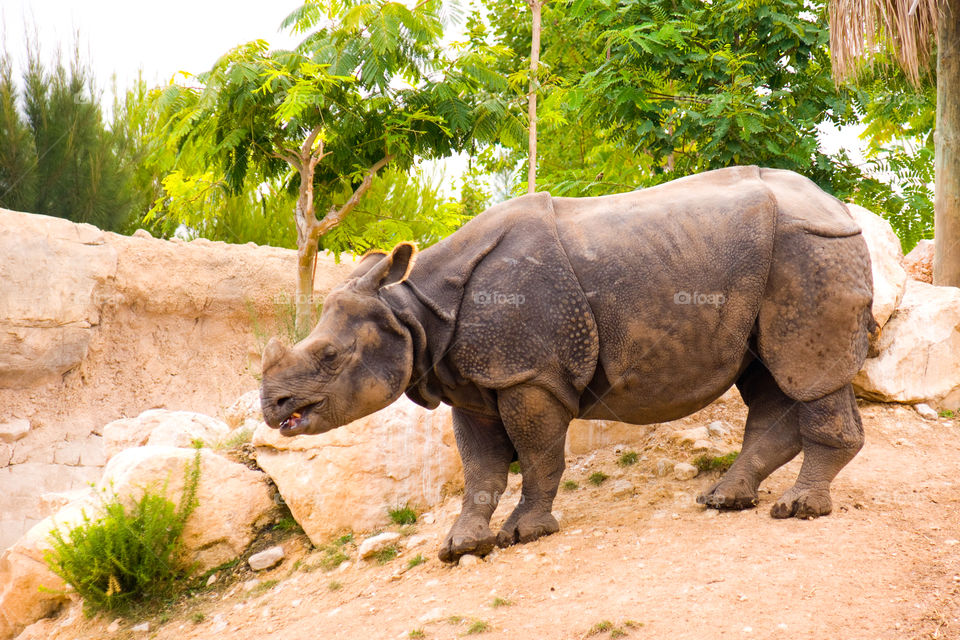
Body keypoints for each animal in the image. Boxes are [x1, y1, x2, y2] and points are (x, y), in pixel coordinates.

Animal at [260, 166, 874, 563]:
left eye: (330, 357)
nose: (273, 408)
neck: (414, 311)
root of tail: (837, 204)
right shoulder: (472, 380)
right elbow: (480, 468)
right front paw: (461, 547)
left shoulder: (528, 374)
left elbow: (537, 456)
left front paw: (526, 534)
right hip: (773, 258)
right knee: (769, 375)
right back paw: (725, 499)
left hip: (810, 247)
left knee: (806, 371)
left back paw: (798, 510)